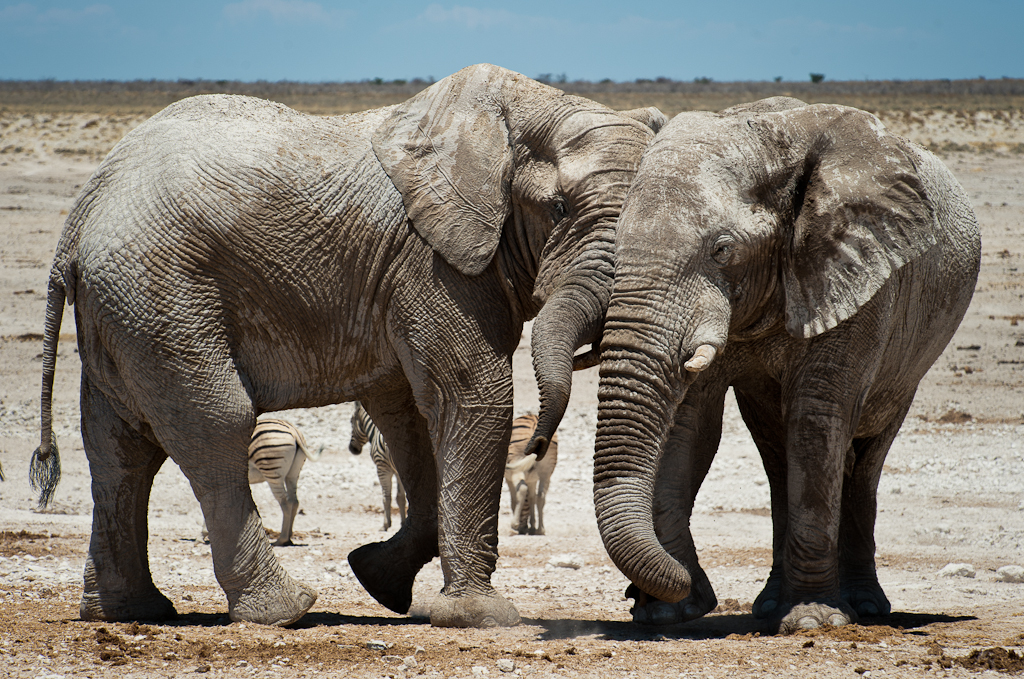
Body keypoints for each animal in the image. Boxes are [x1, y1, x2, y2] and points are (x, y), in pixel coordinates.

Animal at [348, 401, 403, 532]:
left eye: (351, 421)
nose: (351, 449)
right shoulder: (398, 471)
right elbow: (401, 498)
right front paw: (404, 523)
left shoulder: (382, 468)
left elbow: (386, 497)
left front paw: (385, 525)